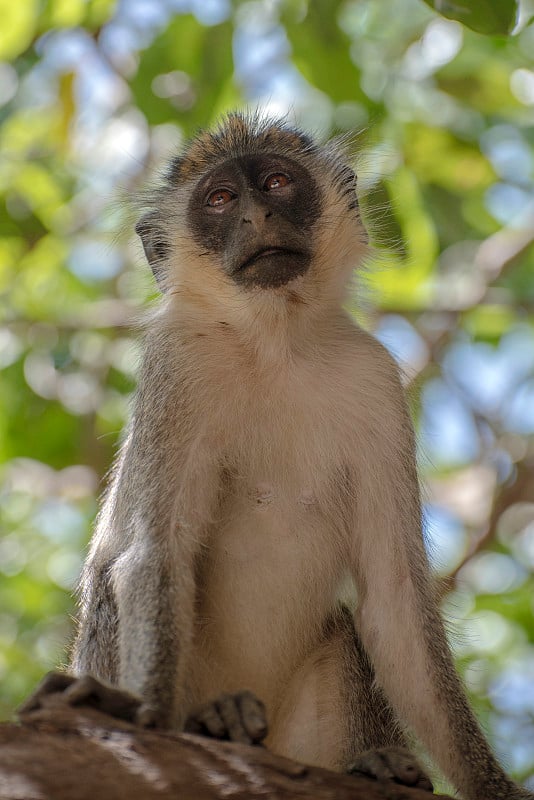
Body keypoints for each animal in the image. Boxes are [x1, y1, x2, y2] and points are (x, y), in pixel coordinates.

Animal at [23, 112, 534, 800]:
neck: (275, 344)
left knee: (343, 628)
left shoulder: (375, 378)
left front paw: (493, 785)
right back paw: (215, 722)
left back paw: (377, 764)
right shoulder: (178, 363)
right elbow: (156, 554)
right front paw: (137, 711)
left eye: (276, 183)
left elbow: (395, 599)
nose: (257, 216)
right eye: (219, 199)